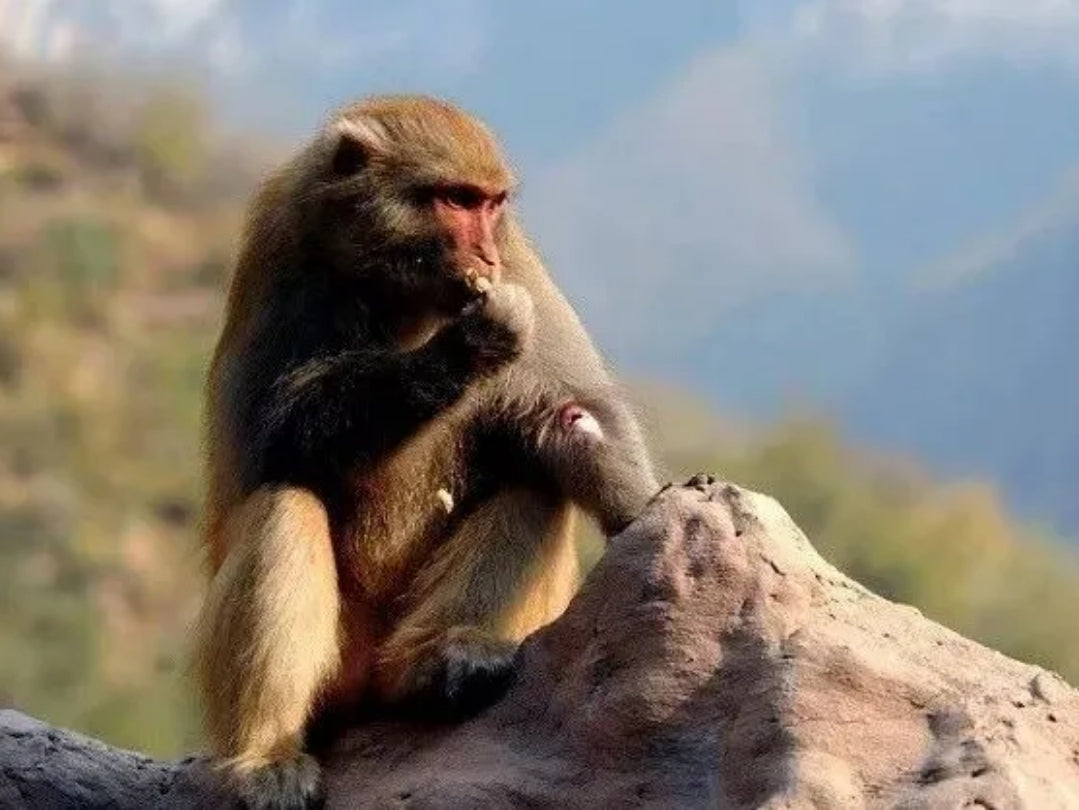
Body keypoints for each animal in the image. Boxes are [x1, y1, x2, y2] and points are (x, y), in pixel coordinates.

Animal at [191, 94, 660, 809]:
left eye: (491, 204)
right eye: (455, 200)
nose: (484, 254)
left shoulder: (519, 262)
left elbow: (570, 413)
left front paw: (648, 513)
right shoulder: (283, 248)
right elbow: (279, 432)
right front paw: (470, 344)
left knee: (536, 483)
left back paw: (433, 664)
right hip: (342, 667)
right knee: (285, 502)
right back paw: (267, 754)